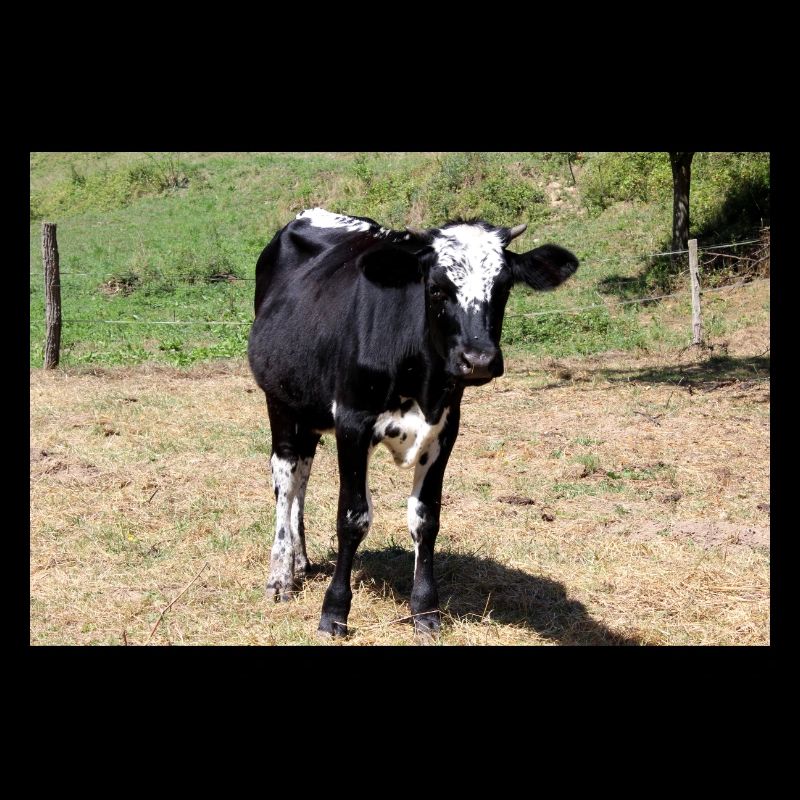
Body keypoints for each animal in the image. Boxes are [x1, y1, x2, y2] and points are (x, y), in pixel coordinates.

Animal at [248, 207, 578, 638]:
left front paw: (425, 611)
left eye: (504, 287)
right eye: (436, 288)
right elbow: (352, 517)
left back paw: (300, 562)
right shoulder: (353, 423)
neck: (420, 380)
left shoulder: (444, 430)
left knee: (302, 472)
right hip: (280, 402)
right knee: (285, 479)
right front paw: (334, 613)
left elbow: (426, 519)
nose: (479, 360)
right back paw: (281, 575)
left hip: (310, 410)